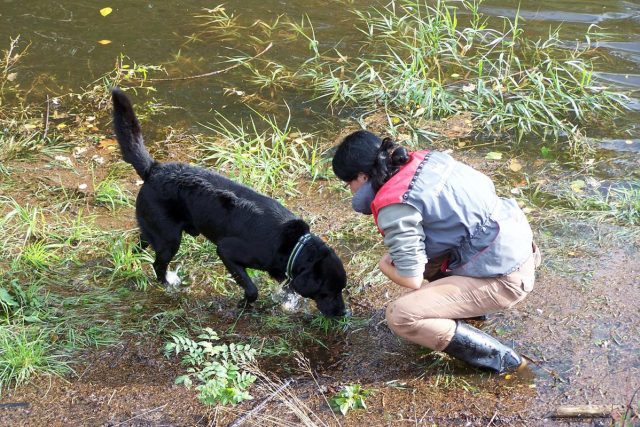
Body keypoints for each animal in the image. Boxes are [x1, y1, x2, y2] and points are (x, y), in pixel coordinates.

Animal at [112, 88, 348, 318]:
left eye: (342, 289)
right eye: (328, 292)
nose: (343, 313)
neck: (293, 245)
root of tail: (153, 169)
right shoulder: (227, 251)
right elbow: (252, 289)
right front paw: (244, 303)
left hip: (156, 230)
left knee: (140, 243)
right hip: (169, 240)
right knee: (158, 264)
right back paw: (168, 285)